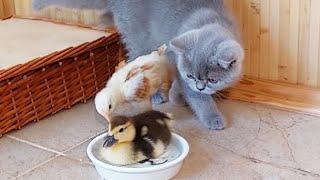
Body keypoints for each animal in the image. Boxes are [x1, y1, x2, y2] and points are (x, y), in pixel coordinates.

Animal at [33, 0, 244, 129]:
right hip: (137, 36)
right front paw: (212, 117)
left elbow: (181, 82)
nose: (201, 86)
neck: (211, 19)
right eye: (192, 76)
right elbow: (198, 99)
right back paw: (156, 95)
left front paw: (178, 96)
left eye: (213, 80)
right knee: (135, 61)